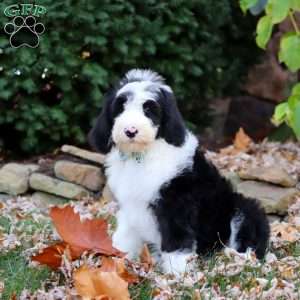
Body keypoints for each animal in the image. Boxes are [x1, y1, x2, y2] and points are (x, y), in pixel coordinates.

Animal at [88, 68, 270, 274]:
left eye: (149, 110)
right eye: (121, 108)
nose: (131, 131)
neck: (142, 155)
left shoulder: (176, 203)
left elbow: (177, 237)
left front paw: (177, 272)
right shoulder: (130, 204)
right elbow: (125, 234)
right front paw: (115, 261)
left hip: (243, 209)